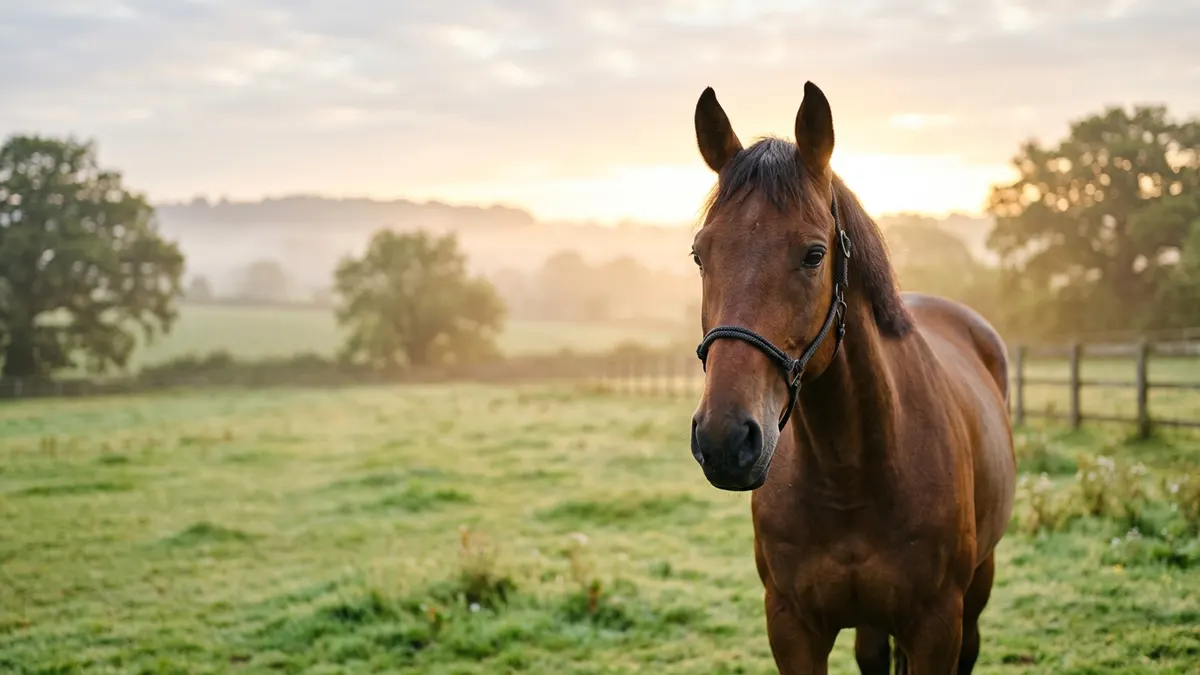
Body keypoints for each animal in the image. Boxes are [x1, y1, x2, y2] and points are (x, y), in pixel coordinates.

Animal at [687, 81, 1017, 674]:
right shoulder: (792, 627)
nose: (725, 440)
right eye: (701, 255)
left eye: (814, 254)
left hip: (979, 587)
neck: (852, 473)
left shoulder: (937, 627)